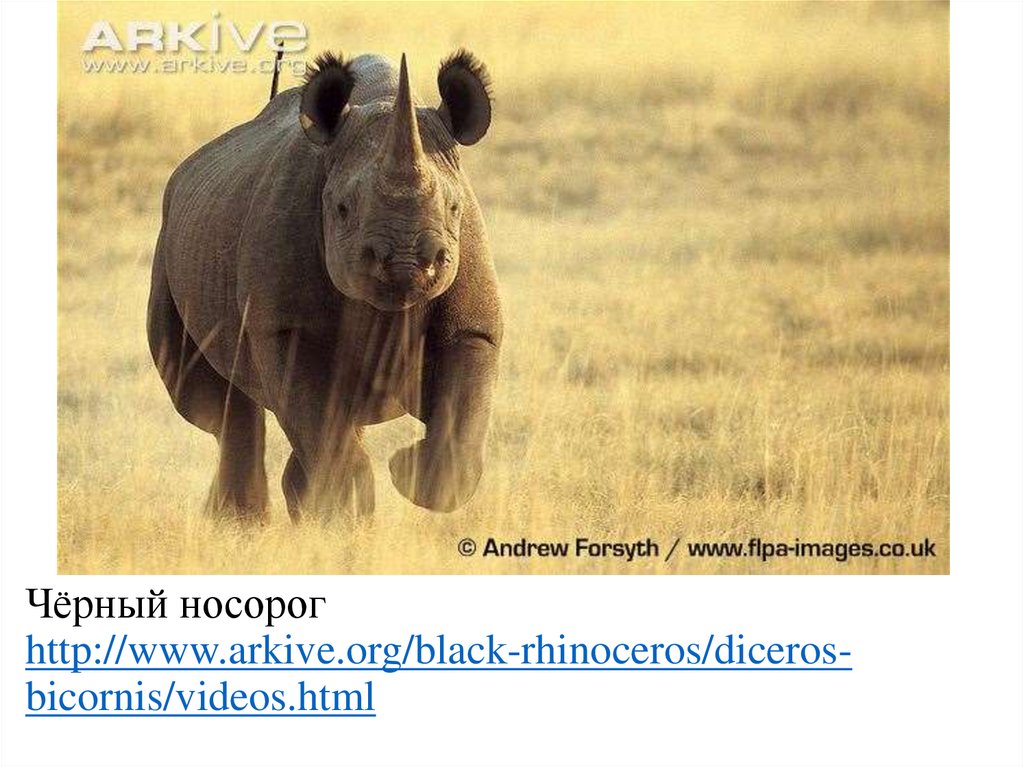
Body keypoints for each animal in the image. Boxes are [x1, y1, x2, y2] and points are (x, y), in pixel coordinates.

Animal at [147, 50, 502, 521]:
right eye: (342, 209)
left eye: (455, 207)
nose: (408, 263)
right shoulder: (282, 327)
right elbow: (319, 426)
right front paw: (345, 516)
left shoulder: (473, 328)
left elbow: (462, 422)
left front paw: (403, 472)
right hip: (170, 237)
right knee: (209, 404)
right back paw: (241, 524)